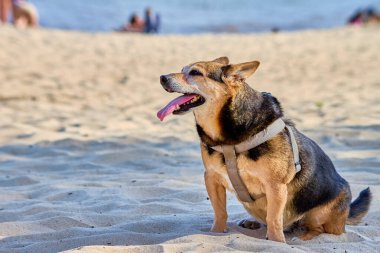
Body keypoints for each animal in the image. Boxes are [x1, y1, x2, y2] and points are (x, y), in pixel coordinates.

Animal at [157, 56, 372, 242]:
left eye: (195, 72)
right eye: (182, 69)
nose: (162, 77)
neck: (229, 137)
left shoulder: (275, 185)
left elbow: (274, 219)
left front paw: (277, 242)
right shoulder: (211, 177)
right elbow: (220, 212)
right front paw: (216, 233)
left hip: (319, 213)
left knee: (317, 228)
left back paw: (302, 236)